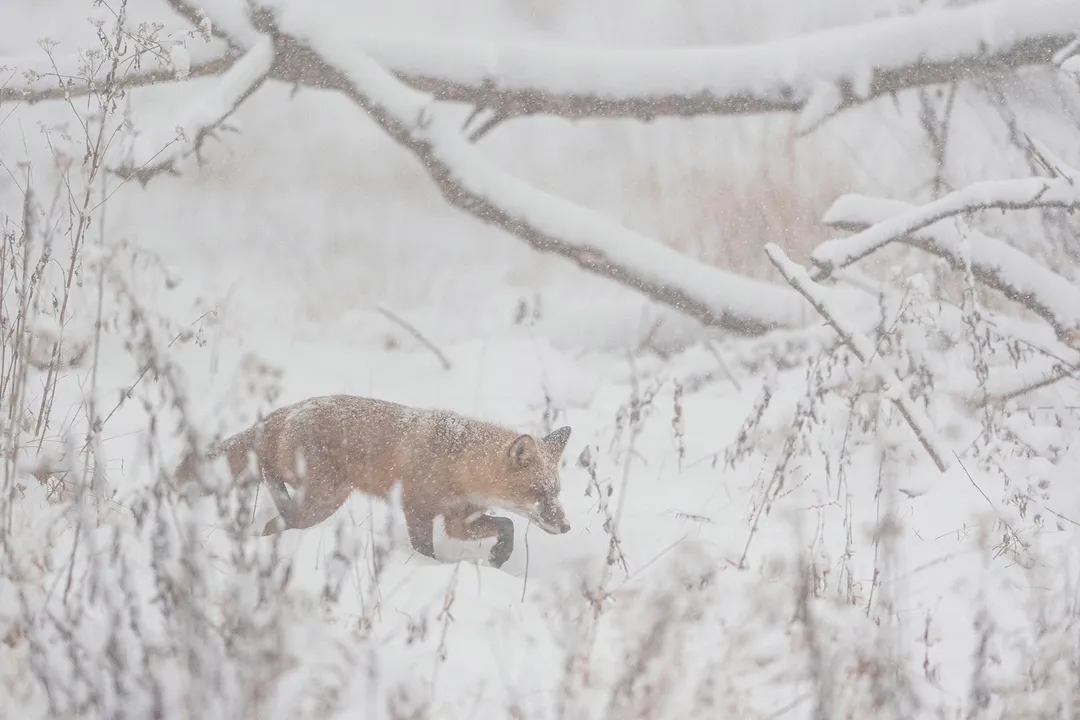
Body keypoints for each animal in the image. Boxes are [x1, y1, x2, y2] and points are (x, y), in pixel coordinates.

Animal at [172, 394, 573, 569]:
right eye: (539, 493)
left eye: (556, 492)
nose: (567, 526)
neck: (458, 463)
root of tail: (283, 412)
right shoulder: (417, 509)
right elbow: (426, 551)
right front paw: (433, 570)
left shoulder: (459, 519)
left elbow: (506, 524)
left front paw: (500, 555)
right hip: (325, 501)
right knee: (275, 518)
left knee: (275, 513)